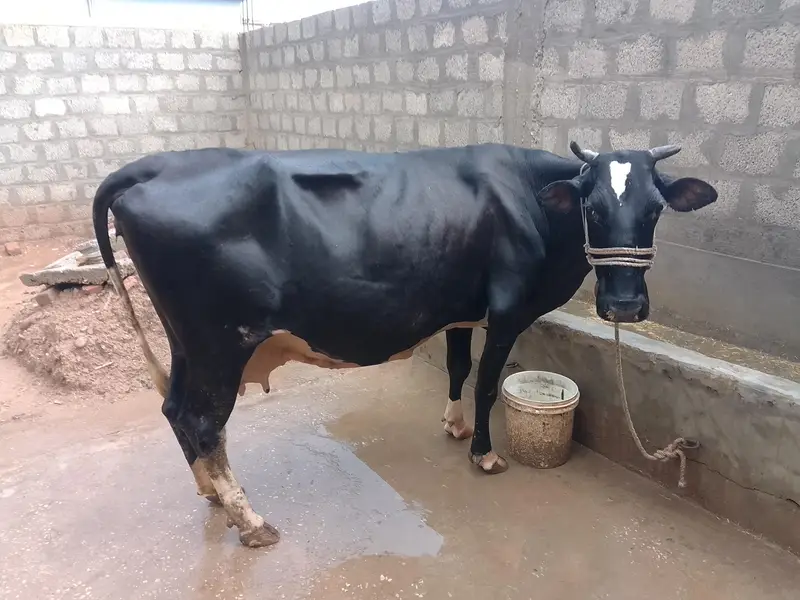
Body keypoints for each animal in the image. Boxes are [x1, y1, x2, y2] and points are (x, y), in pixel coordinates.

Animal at [92, 141, 717, 548]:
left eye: (655, 209)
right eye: (593, 208)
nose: (625, 307)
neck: (531, 199)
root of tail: (150, 165)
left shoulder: (462, 310)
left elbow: (459, 369)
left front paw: (454, 426)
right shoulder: (507, 311)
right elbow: (487, 383)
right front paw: (484, 453)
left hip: (186, 342)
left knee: (174, 408)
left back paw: (210, 493)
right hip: (220, 342)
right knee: (203, 422)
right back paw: (249, 520)